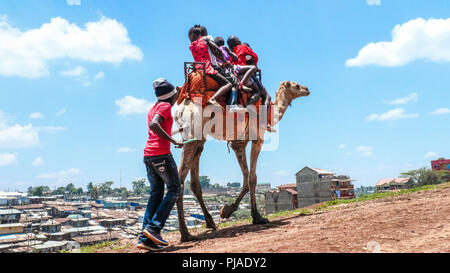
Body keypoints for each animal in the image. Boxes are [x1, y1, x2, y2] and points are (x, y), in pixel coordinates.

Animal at [173, 79, 310, 240]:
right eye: (296, 86)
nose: (307, 89)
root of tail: (180, 109)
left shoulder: (238, 144)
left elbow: (246, 179)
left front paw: (227, 210)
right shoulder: (257, 138)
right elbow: (252, 178)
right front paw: (257, 217)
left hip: (198, 138)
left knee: (194, 181)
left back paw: (210, 223)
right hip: (193, 132)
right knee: (180, 178)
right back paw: (185, 234)